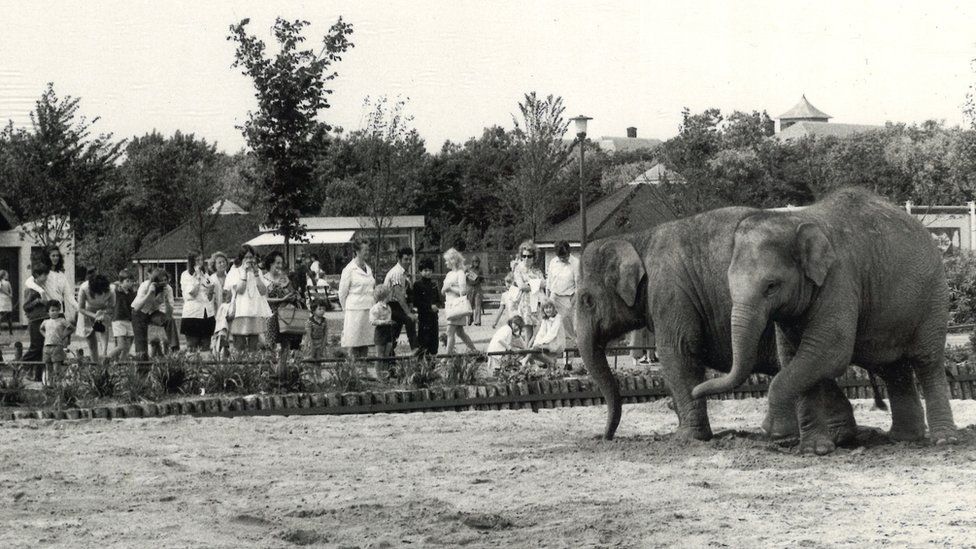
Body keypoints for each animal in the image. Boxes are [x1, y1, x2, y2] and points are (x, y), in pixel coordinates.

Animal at [572, 206, 868, 440]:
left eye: (586, 300)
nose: (604, 437)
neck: (637, 239)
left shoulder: (670, 293)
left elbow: (676, 352)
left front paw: (686, 438)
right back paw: (840, 434)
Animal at [692, 188, 956, 454]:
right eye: (729, 285)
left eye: (771, 286)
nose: (696, 392)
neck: (795, 221)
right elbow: (796, 358)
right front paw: (815, 449)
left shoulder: (839, 278)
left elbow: (828, 351)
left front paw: (775, 430)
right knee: (892, 368)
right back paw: (904, 439)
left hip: (933, 297)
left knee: (926, 360)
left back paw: (942, 440)